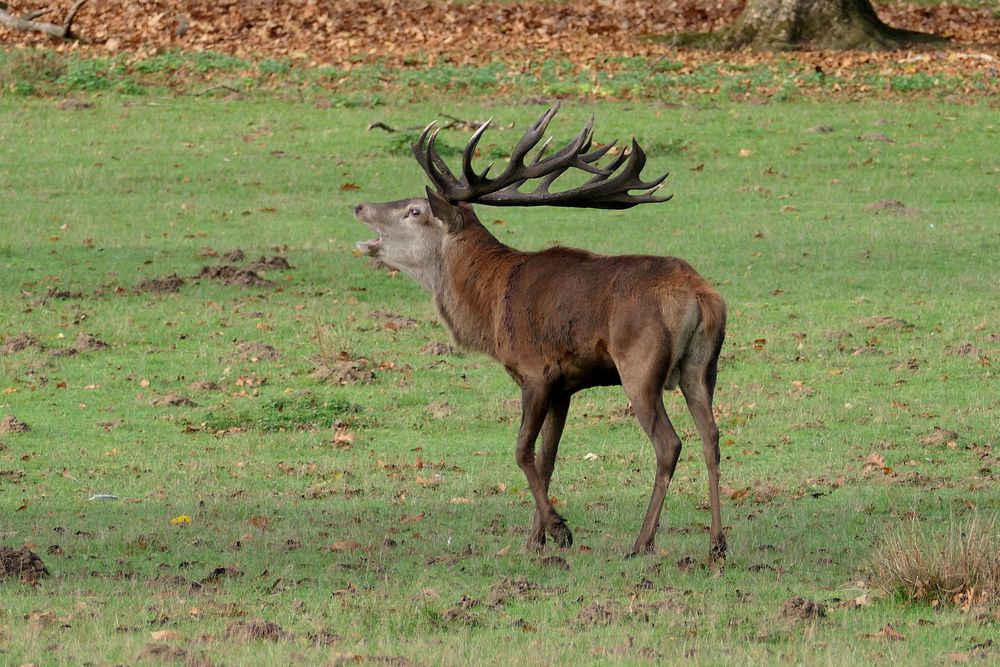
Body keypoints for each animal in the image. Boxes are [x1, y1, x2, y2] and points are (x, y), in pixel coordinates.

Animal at [356, 104, 732, 560]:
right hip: (702, 367)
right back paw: (717, 543)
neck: (490, 305)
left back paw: (642, 542)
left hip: (640, 363)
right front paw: (535, 539)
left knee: (669, 443)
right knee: (712, 437)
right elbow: (548, 456)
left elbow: (522, 451)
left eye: (414, 210)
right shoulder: (565, 385)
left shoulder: (535, 372)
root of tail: (701, 296)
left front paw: (558, 529)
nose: (359, 206)